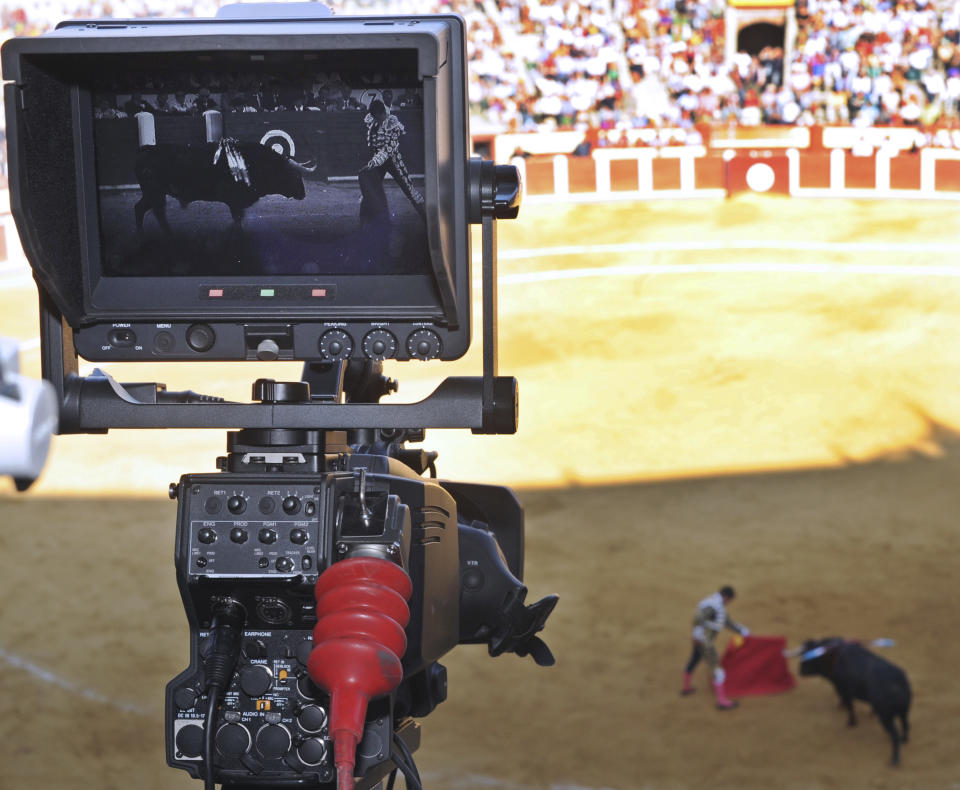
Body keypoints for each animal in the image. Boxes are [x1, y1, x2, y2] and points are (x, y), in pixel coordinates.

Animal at [133, 142, 316, 232]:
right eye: (294, 175)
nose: (303, 193)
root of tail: (146, 150)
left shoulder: (239, 203)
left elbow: (238, 219)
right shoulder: (235, 201)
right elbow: (237, 220)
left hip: (153, 193)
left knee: (140, 208)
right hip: (155, 192)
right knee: (158, 211)